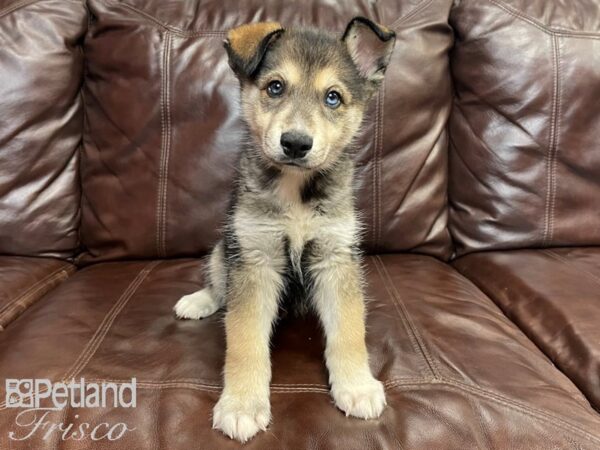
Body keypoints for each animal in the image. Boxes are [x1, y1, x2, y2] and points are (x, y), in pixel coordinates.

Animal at [176, 17, 396, 442]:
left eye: (333, 98)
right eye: (275, 87)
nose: (295, 143)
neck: (296, 193)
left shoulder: (335, 257)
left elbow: (349, 330)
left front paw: (357, 385)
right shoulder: (254, 258)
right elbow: (244, 338)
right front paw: (242, 404)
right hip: (224, 247)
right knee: (218, 282)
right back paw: (199, 301)